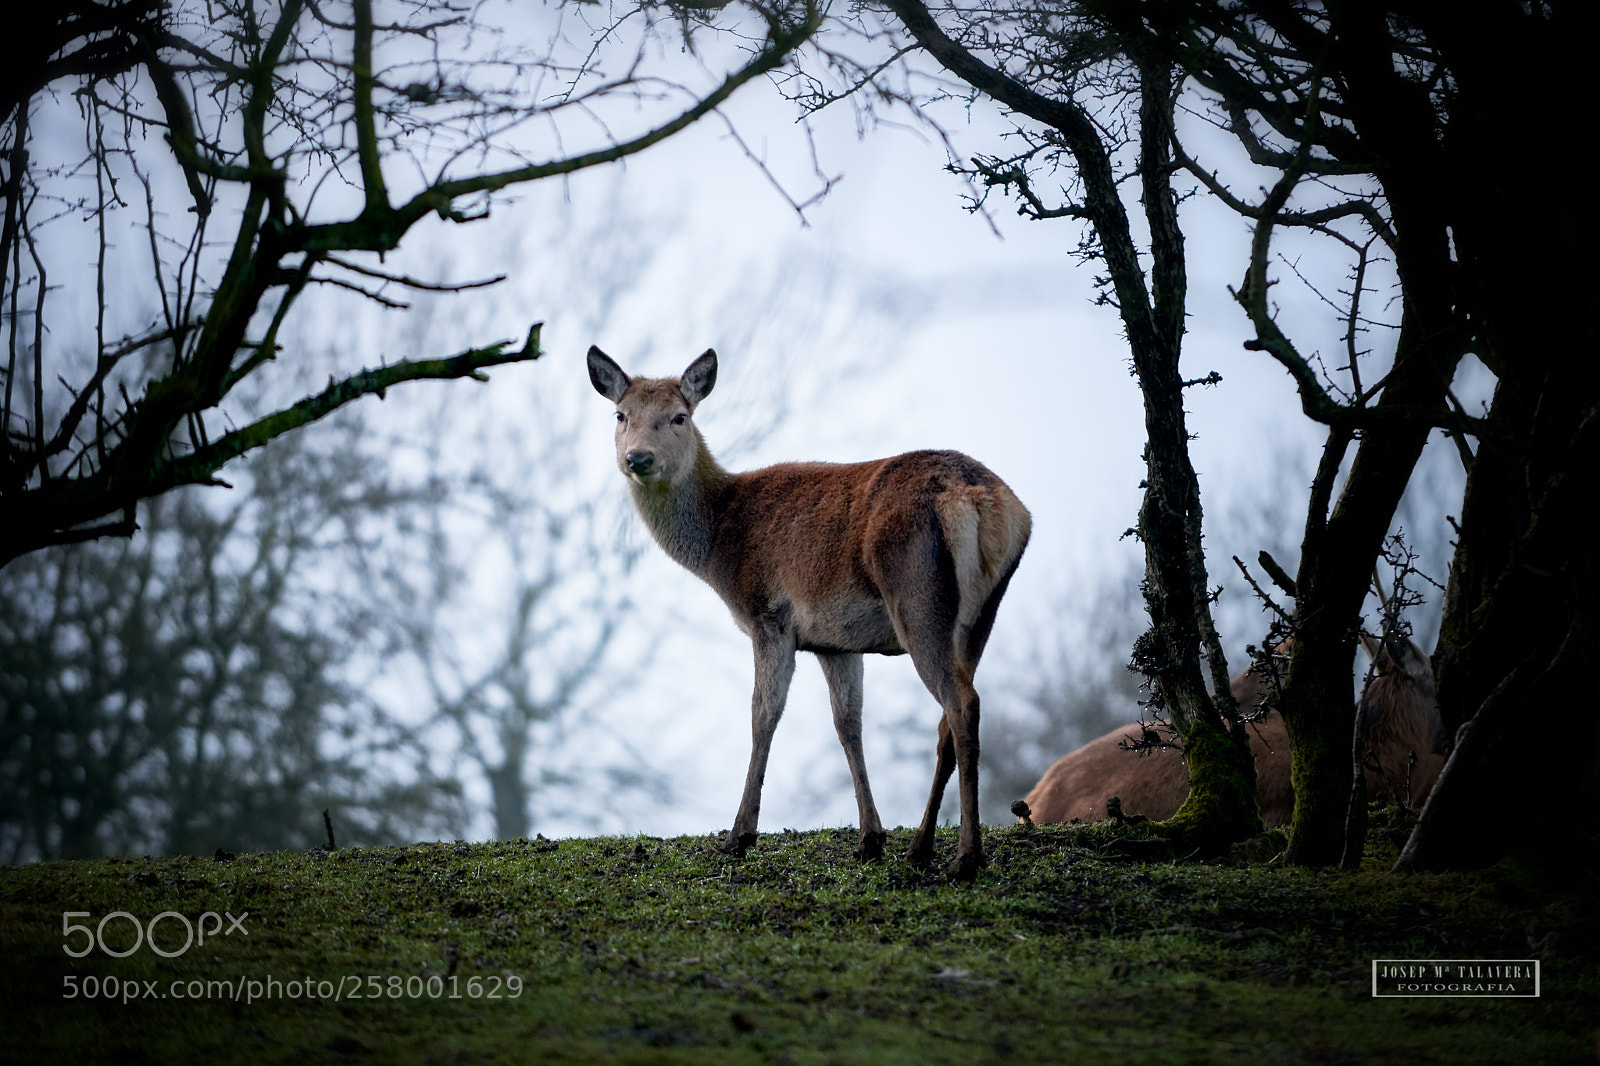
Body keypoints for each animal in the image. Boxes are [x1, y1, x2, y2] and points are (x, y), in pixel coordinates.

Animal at [588, 347, 1031, 878]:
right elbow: (848, 724)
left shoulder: (770, 617)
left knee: (962, 704)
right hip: (982, 614)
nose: (638, 458)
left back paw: (965, 857)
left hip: (918, 600)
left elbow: (763, 714)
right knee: (949, 716)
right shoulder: (835, 641)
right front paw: (870, 838)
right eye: (620, 415)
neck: (718, 548)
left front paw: (739, 836)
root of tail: (989, 503)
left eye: (679, 416)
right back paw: (920, 846)